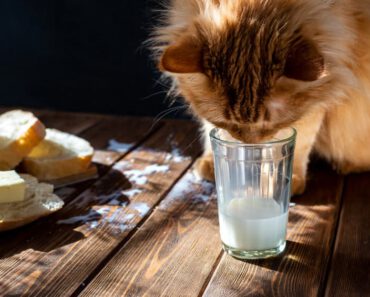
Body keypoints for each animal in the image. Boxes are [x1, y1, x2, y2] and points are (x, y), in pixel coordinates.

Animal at [150, 0, 370, 195]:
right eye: (227, 122)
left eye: (269, 124)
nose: (249, 144)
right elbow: (210, 130)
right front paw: (212, 160)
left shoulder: (320, 96)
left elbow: (301, 141)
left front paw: (285, 180)